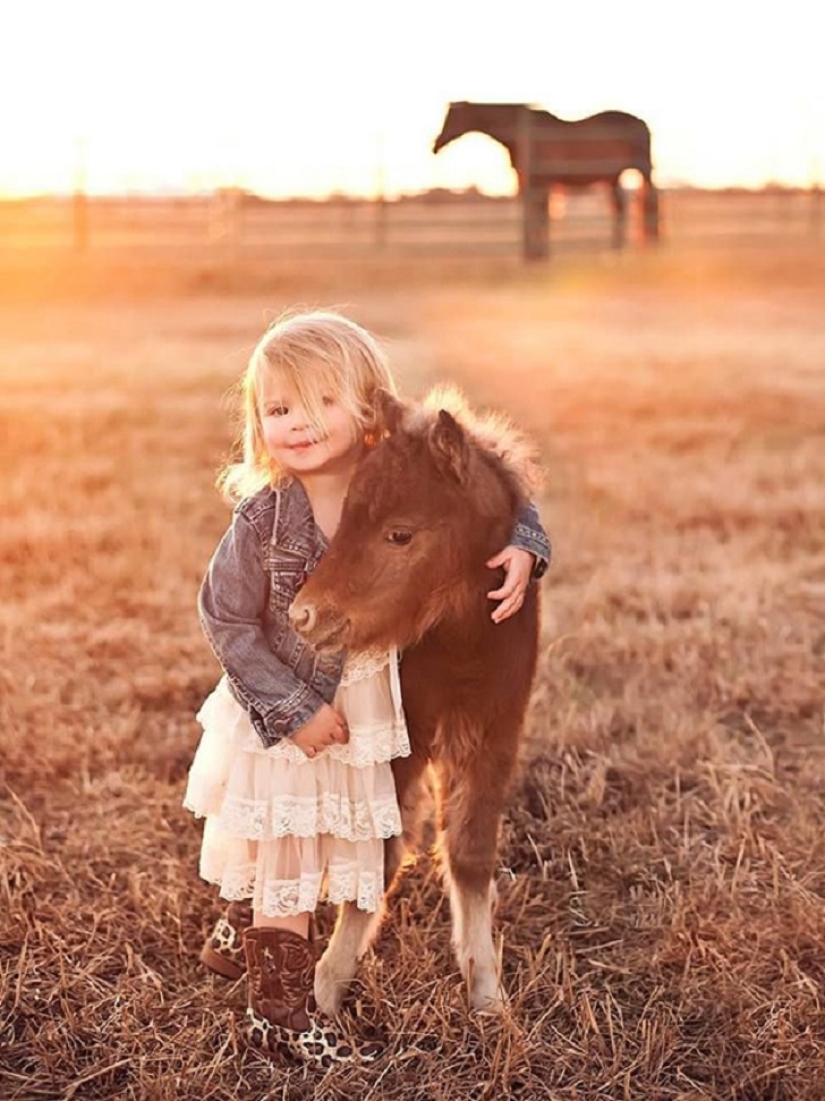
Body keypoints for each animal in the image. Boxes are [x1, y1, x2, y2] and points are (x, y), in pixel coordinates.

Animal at [433, 100, 660, 256]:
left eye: (452, 118)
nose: (435, 145)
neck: (524, 135)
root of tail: (643, 123)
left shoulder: (539, 182)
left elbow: (539, 216)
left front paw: (538, 254)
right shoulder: (532, 182)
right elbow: (537, 215)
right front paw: (536, 254)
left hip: (643, 171)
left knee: (649, 201)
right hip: (614, 177)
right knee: (620, 208)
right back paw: (616, 248)